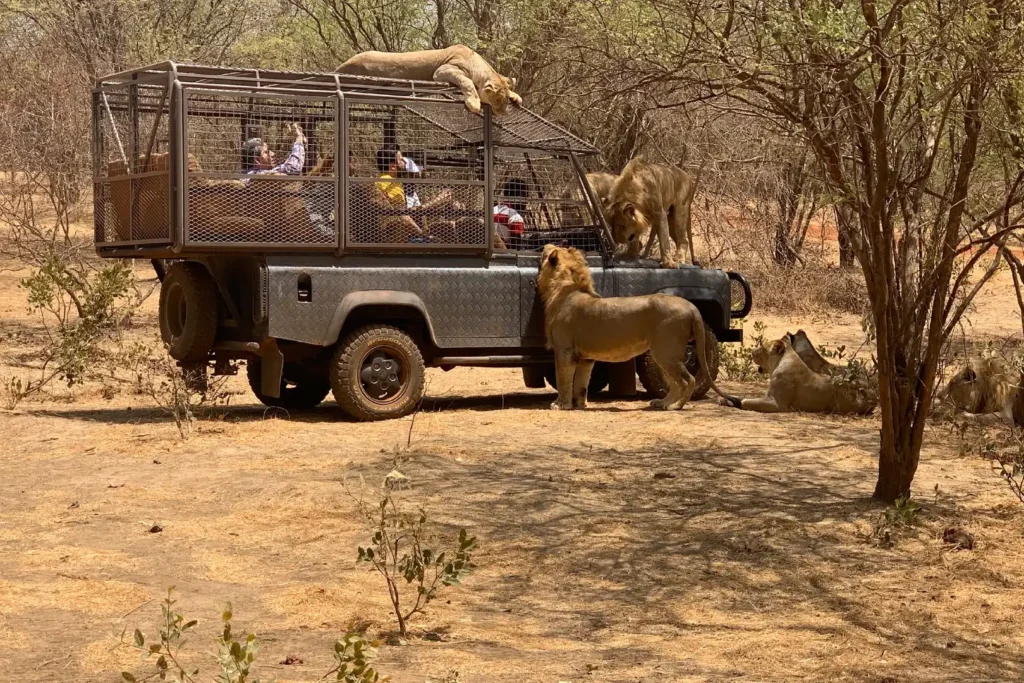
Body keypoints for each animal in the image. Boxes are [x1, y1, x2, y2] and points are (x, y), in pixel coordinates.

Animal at [337, 45, 521, 115]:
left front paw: (516, 96)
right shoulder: (443, 71)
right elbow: (467, 82)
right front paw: (474, 103)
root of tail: (340, 67)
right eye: (498, 101)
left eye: (505, 101)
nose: (504, 113)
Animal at [536, 244, 739, 410]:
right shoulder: (586, 357)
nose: (545, 245)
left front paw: (560, 404)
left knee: (688, 380)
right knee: (675, 382)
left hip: (665, 351)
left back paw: (675, 406)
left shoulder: (564, 350)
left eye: (548, 251)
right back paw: (662, 402)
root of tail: (691, 306)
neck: (565, 288)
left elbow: (563, 378)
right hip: (663, 353)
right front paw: (579, 404)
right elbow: (581, 382)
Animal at [724, 338, 877, 415]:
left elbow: (748, 401)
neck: (783, 360)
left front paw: (732, 402)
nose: (751, 353)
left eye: (761, 348)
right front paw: (729, 399)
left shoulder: (776, 403)